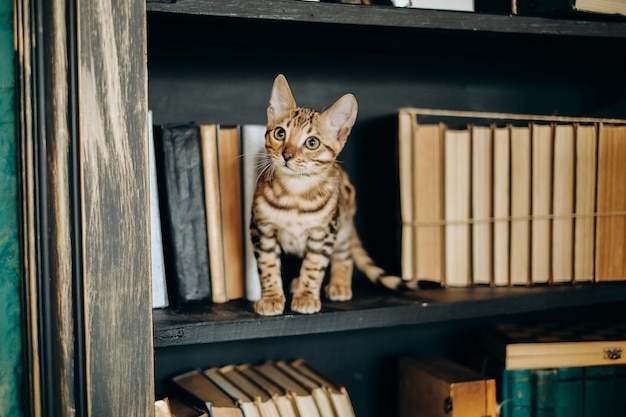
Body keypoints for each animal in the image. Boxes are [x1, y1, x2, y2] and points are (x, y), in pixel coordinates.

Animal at [249, 75, 404, 316]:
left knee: (344, 255)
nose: (287, 155)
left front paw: (306, 296)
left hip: (342, 227)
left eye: (312, 143)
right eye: (280, 133)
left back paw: (339, 284)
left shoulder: (323, 233)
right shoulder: (261, 229)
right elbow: (267, 266)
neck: (295, 192)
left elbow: (314, 266)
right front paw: (271, 297)